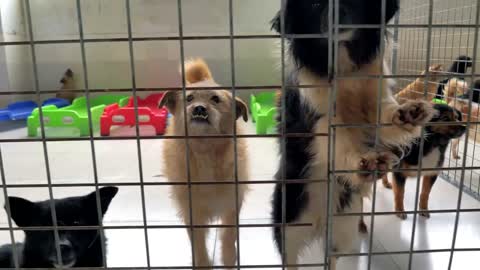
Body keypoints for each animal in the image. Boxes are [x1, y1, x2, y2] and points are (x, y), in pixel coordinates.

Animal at [161, 58, 251, 268]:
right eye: (189, 99)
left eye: (215, 99)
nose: (199, 108)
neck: (205, 151)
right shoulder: (191, 211)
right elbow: (198, 241)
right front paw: (202, 262)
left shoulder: (232, 204)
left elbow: (229, 235)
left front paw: (229, 258)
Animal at [270, 1, 436, 268]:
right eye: (314, 4)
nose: (337, 13)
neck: (343, 64)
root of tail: (321, 220)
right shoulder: (318, 119)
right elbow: (340, 141)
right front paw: (365, 161)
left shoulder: (375, 101)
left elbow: (386, 113)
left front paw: (409, 113)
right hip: (289, 224)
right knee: (290, 257)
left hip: (344, 229)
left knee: (332, 258)